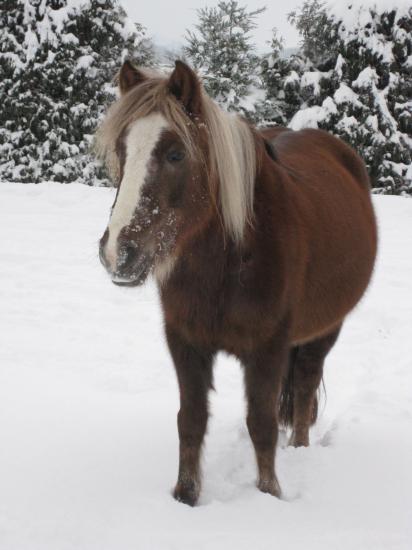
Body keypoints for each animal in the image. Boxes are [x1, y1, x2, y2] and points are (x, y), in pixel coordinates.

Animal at [96, 60, 376, 508]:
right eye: (122, 151)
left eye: (175, 154)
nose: (118, 252)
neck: (228, 260)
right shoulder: (185, 341)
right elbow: (191, 420)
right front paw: (185, 497)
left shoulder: (267, 348)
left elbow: (261, 423)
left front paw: (269, 495)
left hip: (325, 330)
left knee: (304, 386)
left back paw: (299, 447)